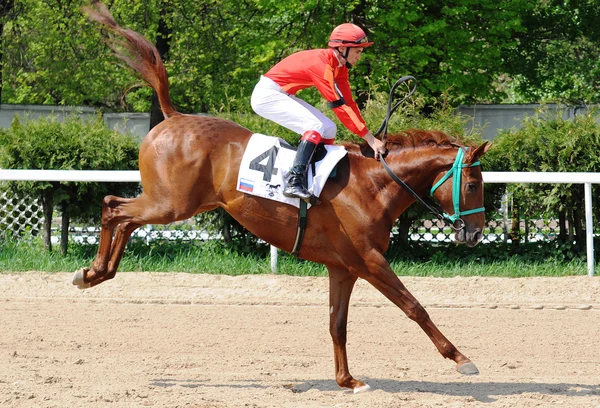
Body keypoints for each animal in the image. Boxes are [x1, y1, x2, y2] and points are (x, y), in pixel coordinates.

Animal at [77, 2, 492, 392]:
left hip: (178, 204)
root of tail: (173, 116)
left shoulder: (344, 266)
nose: (475, 233)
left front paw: (347, 380)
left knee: (122, 215)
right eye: (473, 185)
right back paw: (93, 272)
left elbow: (337, 323)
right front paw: (462, 359)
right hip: (170, 205)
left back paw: (96, 273)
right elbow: (414, 306)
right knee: (114, 208)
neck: (373, 183)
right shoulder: (370, 261)